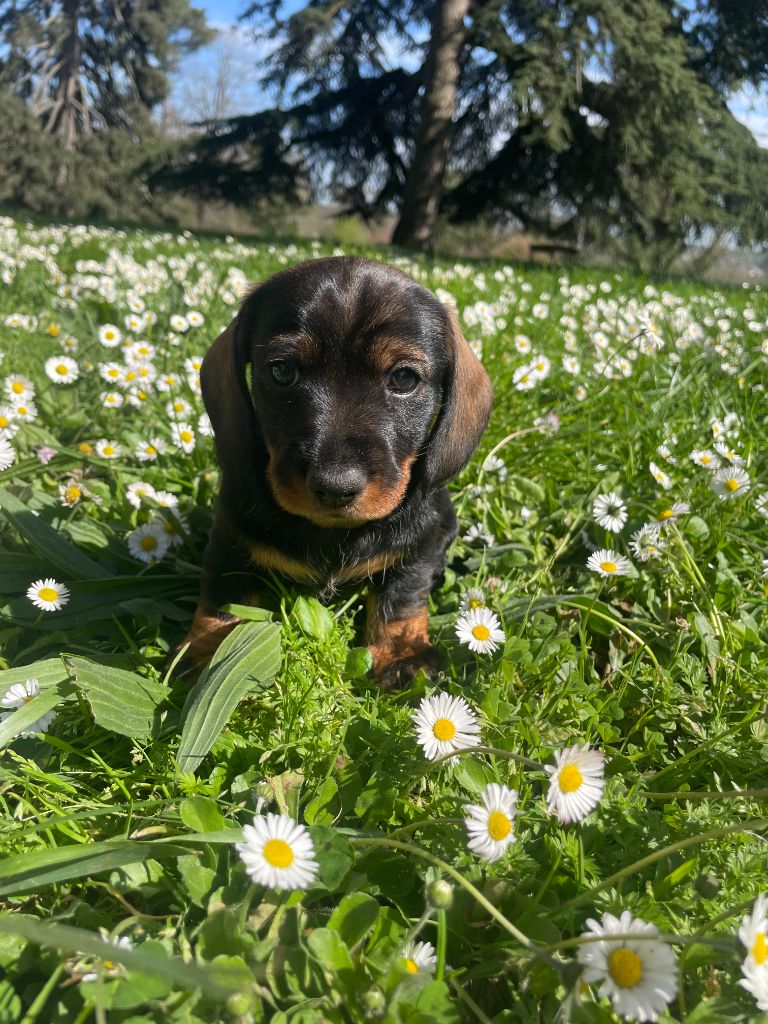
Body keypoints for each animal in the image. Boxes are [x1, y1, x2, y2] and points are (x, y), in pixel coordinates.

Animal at [180, 256, 493, 688]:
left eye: (404, 378)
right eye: (281, 371)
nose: (335, 486)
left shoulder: (416, 551)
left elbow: (402, 599)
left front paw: (403, 656)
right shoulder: (229, 539)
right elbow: (223, 600)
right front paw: (209, 655)